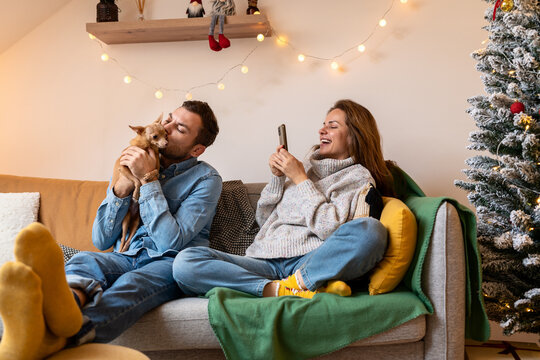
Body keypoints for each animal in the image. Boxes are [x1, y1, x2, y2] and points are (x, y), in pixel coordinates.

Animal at [111, 114, 167, 252]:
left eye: (166, 134)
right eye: (155, 136)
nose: (166, 143)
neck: (147, 147)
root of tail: (132, 214)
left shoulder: (157, 168)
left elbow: (154, 172)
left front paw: (148, 175)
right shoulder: (123, 168)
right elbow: (136, 180)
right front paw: (136, 193)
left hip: (136, 223)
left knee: (129, 239)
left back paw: (125, 249)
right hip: (125, 222)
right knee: (123, 238)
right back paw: (121, 249)